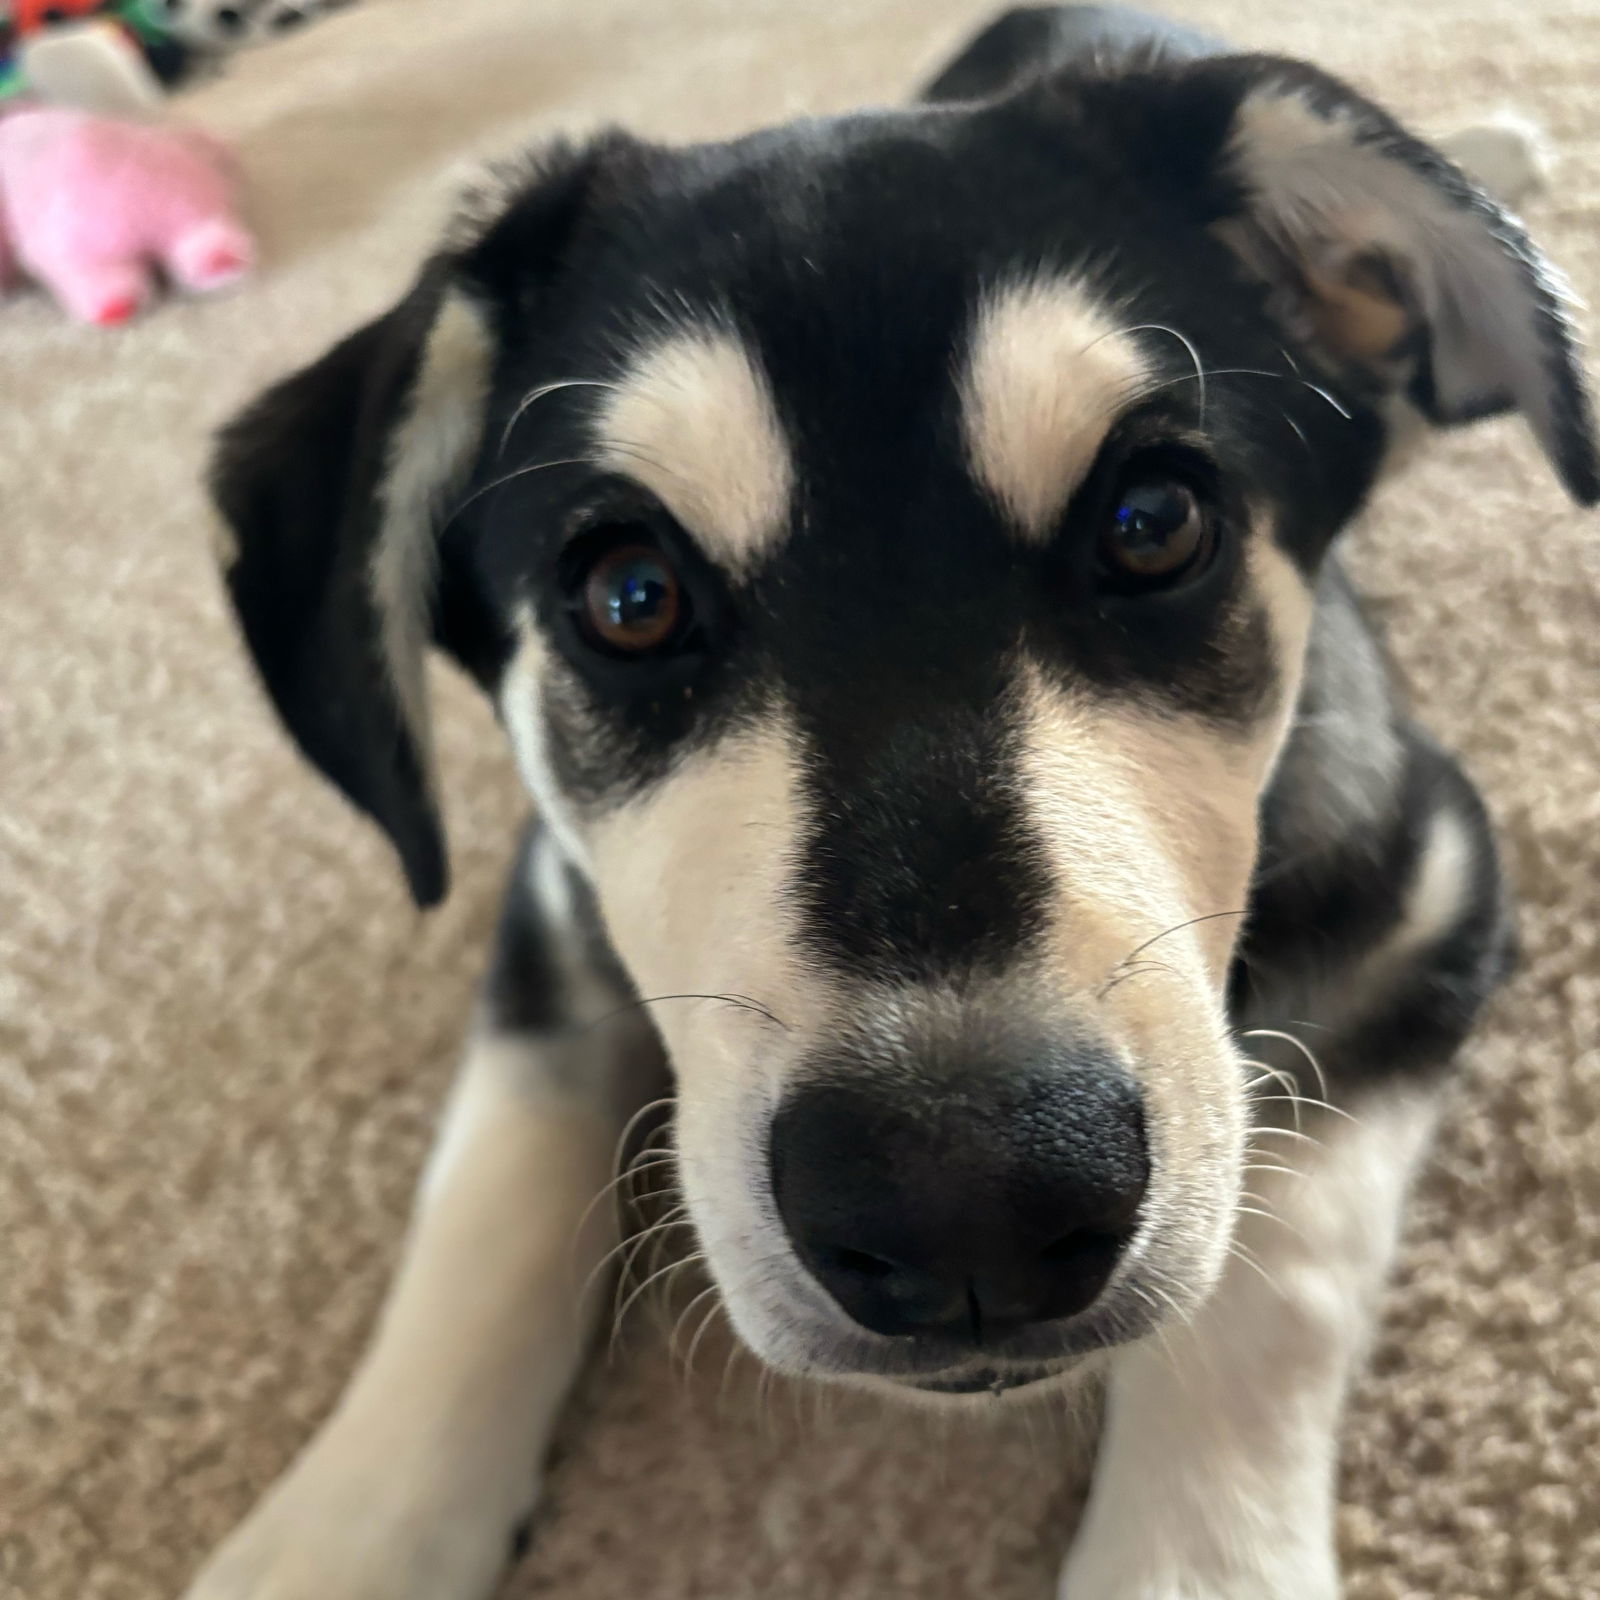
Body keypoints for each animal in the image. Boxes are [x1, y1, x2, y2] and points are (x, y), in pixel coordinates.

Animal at [181, 6, 1593, 1593]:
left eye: (1154, 521)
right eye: (627, 597)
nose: (965, 1201)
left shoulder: (1425, 892)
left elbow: (1278, 1274)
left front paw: (1193, 1559)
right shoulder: (553, 906)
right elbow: (486, 1197)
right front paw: (347, 1530)